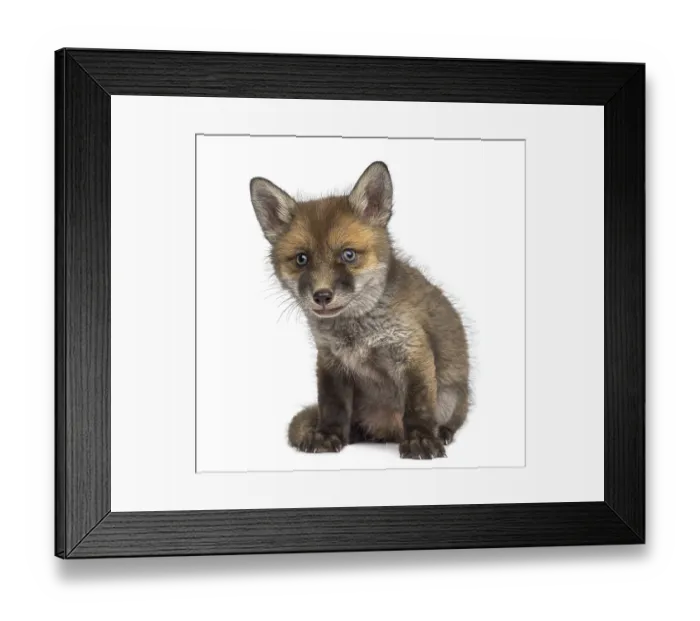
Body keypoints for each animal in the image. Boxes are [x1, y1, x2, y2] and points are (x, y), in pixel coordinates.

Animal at [249, 161, 470, 459]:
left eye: (348, 255)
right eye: (301, 259)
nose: (322, 296)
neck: (358, 335)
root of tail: (386, 431)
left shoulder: (414, 352)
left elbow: (418, 406)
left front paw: (421, 440)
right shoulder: (330, 361)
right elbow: (332, 406)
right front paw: (328, 436)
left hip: (452, 399)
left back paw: (442, 432)